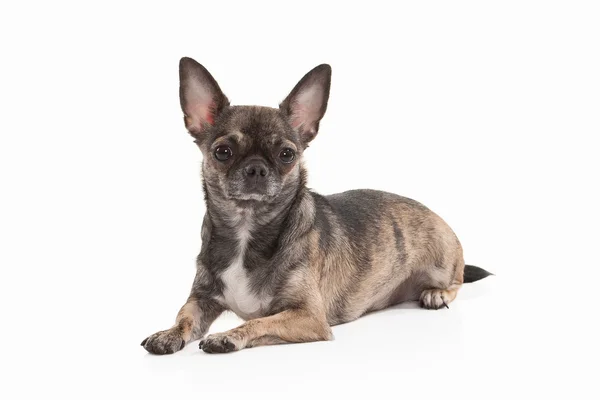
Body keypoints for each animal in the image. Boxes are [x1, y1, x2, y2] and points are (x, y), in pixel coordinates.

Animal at [141, 58, 492, 354]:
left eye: (287, 154)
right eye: (222, 152)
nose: (256, 168)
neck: (247, 228)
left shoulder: (308, 316)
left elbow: (258, 321)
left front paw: (226, 335)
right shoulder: (201, 299)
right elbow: (185, 316)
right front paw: (168, 333)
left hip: (443, 260)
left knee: (457, 280)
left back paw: (436, 293)